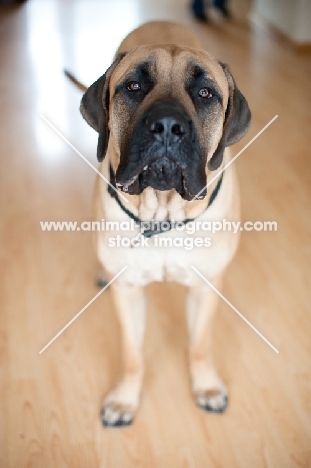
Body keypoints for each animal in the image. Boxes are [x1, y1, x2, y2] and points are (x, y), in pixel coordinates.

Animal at [78, 20, 251, 426]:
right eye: (133, 87)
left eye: (205, 93)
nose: (168, 126)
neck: (164, 214)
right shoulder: (128, 292)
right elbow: (131, 355)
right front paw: (125, 399)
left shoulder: (205, 288)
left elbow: (200, 344)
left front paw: (206, 386)